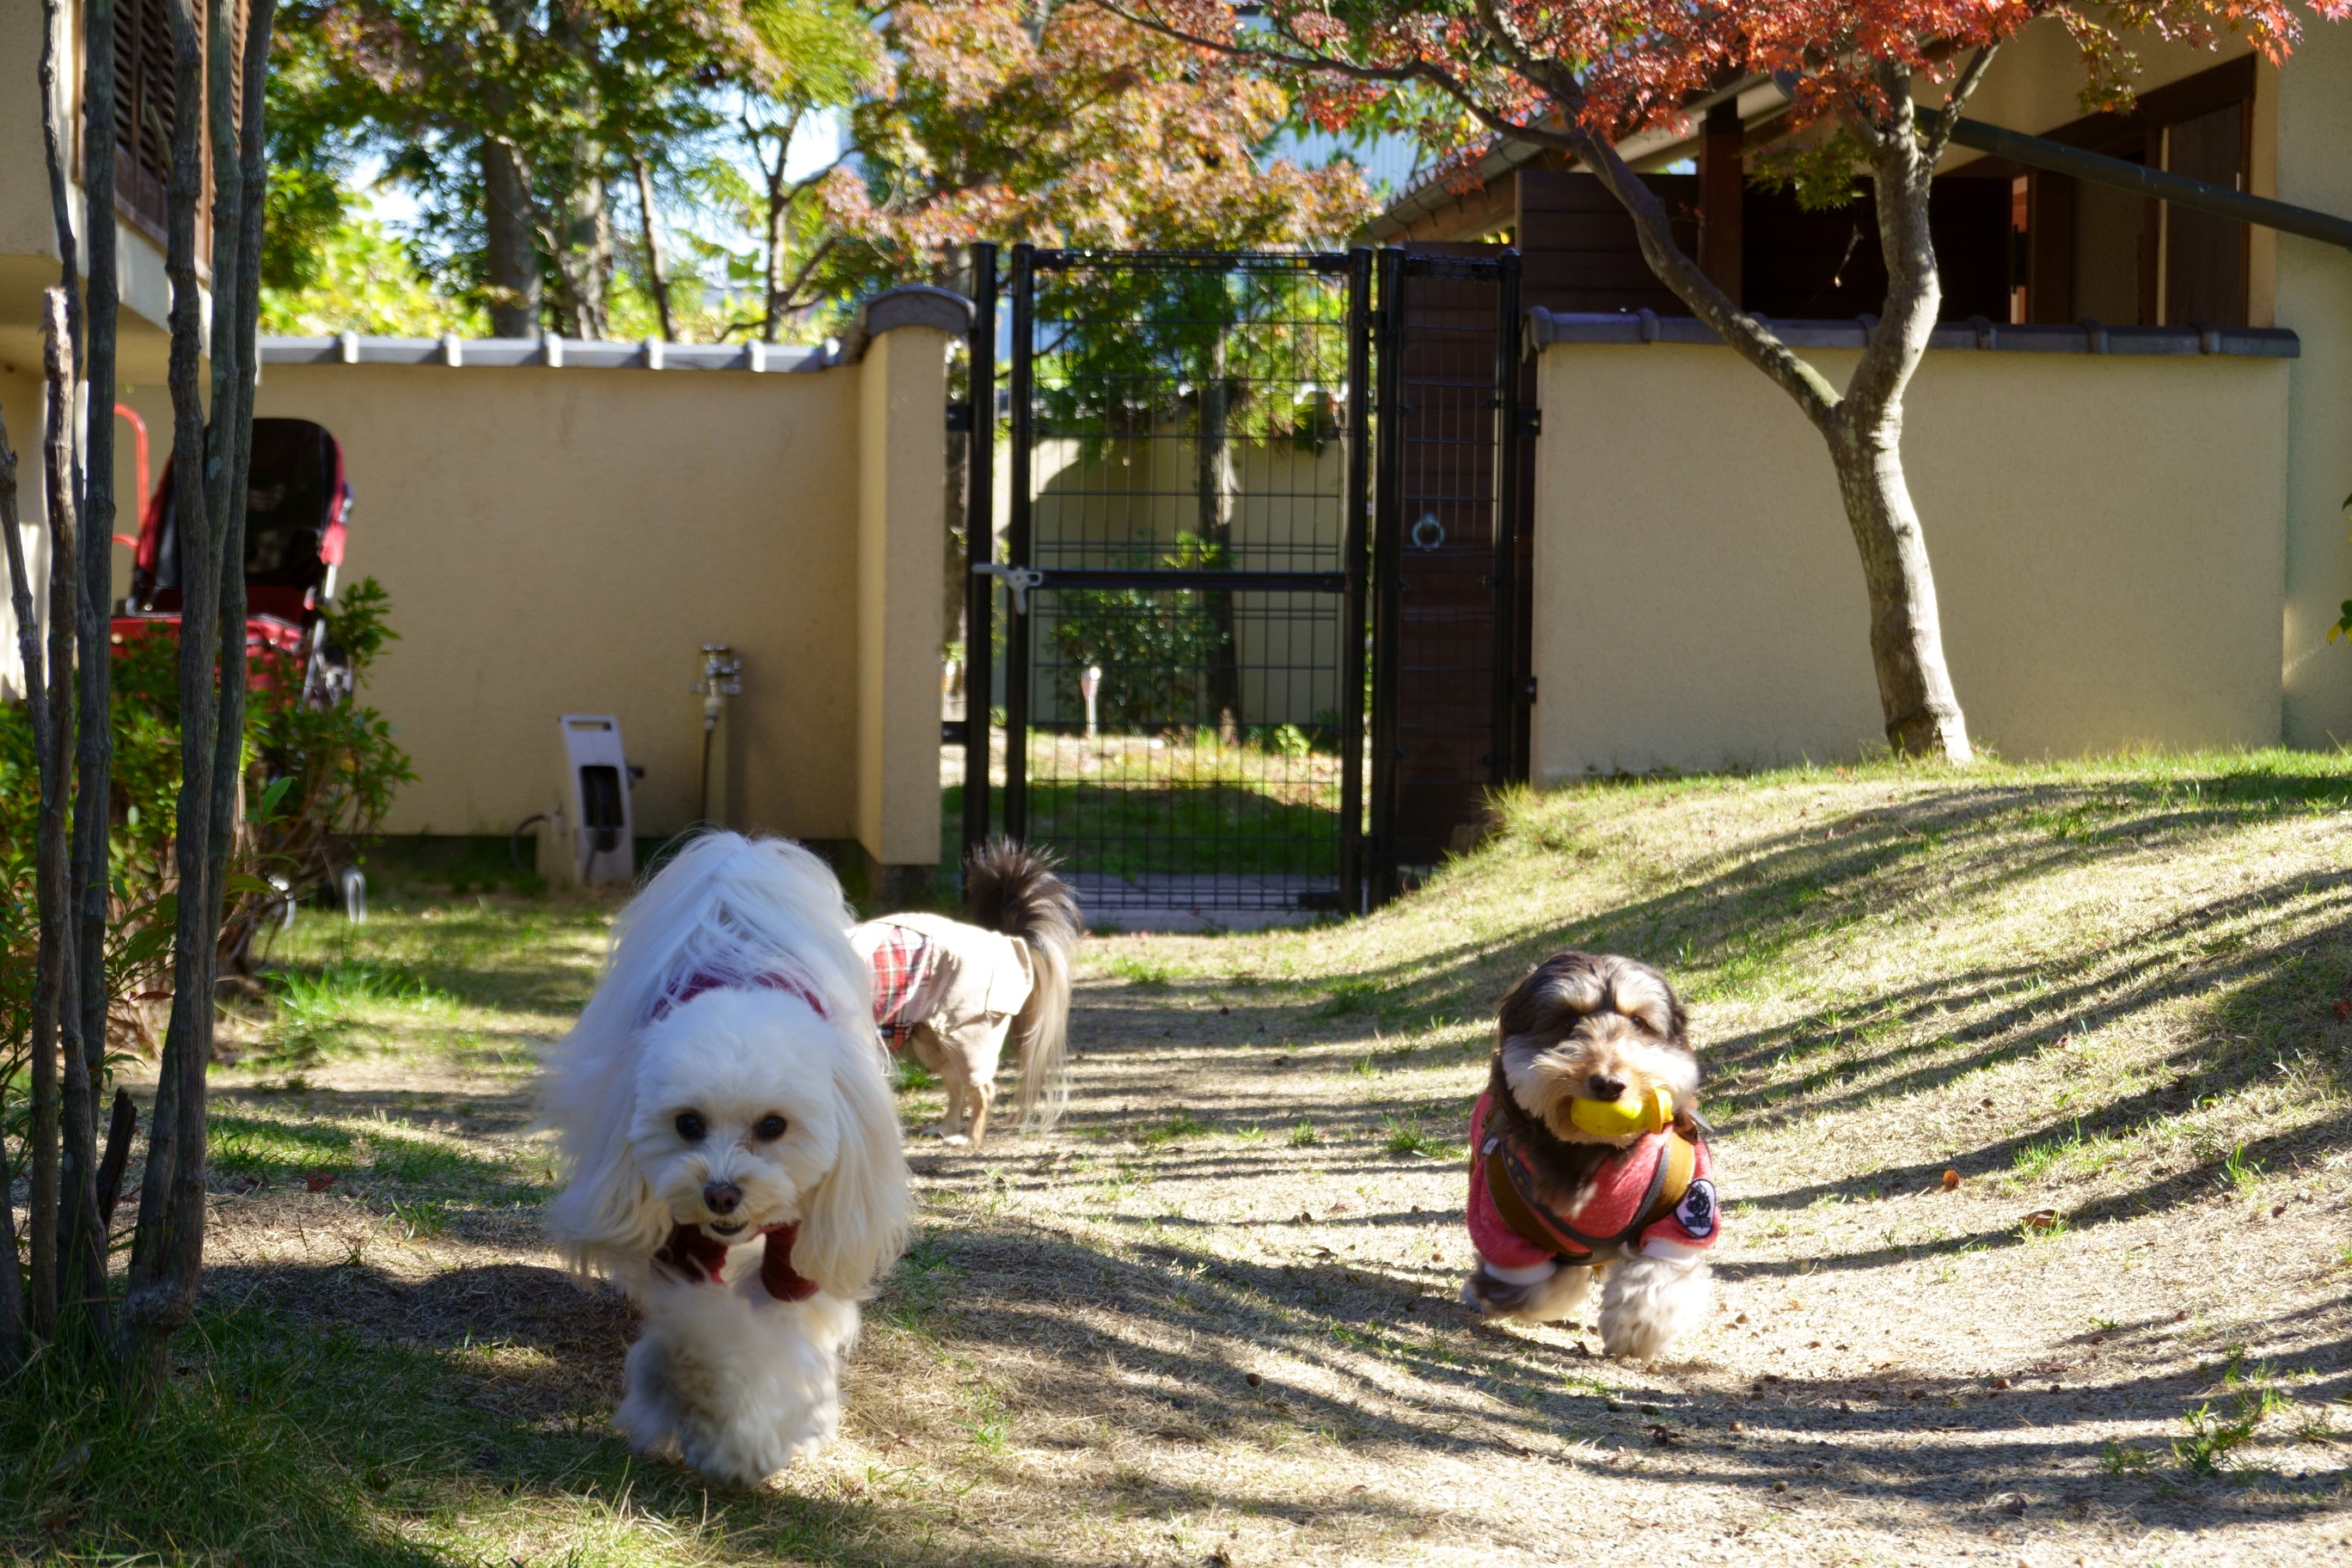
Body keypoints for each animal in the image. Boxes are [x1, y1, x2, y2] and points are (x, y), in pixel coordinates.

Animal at [545, 832, 912, 1485]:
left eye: (774, 1126)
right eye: (688, 1123)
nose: (720, 1194)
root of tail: (737, 855)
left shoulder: (802, 1246)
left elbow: (787, 1330)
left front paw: (763, 1433)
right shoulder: (681, 1244)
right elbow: (703, 1328)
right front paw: (716, 1419)